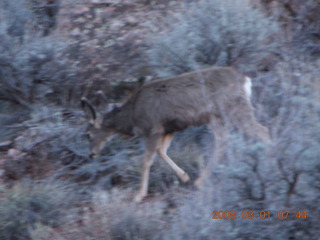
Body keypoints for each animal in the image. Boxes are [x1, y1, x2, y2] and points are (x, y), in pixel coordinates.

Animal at [81, 66, 272, 202]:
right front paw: (184, 176)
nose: (91, 154)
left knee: (259, 130)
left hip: (232, 108)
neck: (132, 115)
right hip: (217, 116)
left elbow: (146, 160)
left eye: (88, 134)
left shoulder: (152, 129)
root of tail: (245, 80)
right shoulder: (168, 129)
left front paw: (139, 195)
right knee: (225, 140)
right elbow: (161, 152)